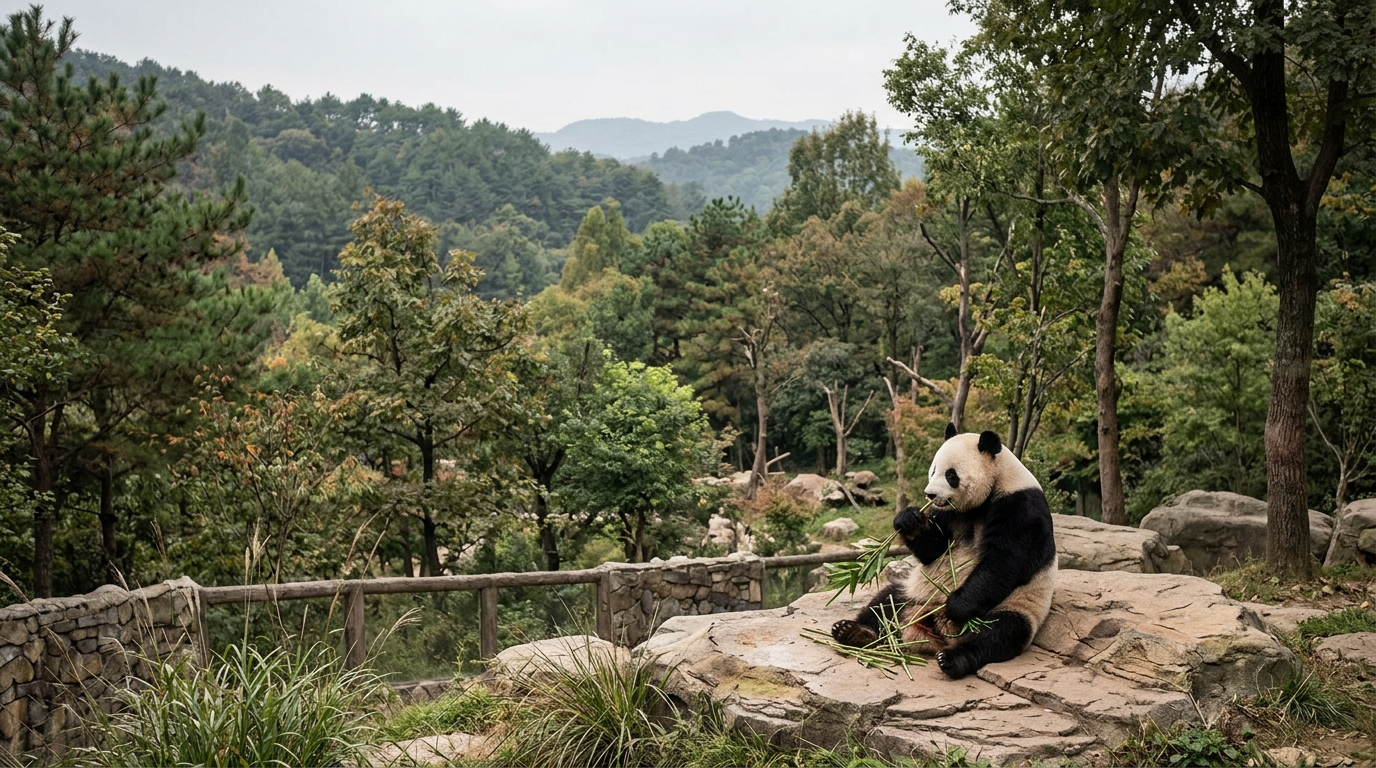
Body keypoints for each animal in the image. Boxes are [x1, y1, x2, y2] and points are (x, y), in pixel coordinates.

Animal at [830, 423, 1057, 679]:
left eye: (951, 475)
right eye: (933, 470)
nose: (930, 495)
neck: (997, 482)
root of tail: (935, 633)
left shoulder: (1021, 507)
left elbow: (1005, 561)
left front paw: (955, 605)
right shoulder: (948, 513)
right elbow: (933, 549)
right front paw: (909, 519)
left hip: (1016, 607)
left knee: (996, 634)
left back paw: (952, 659)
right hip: (914, 594)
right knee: (886, 602)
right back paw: (853, 632)